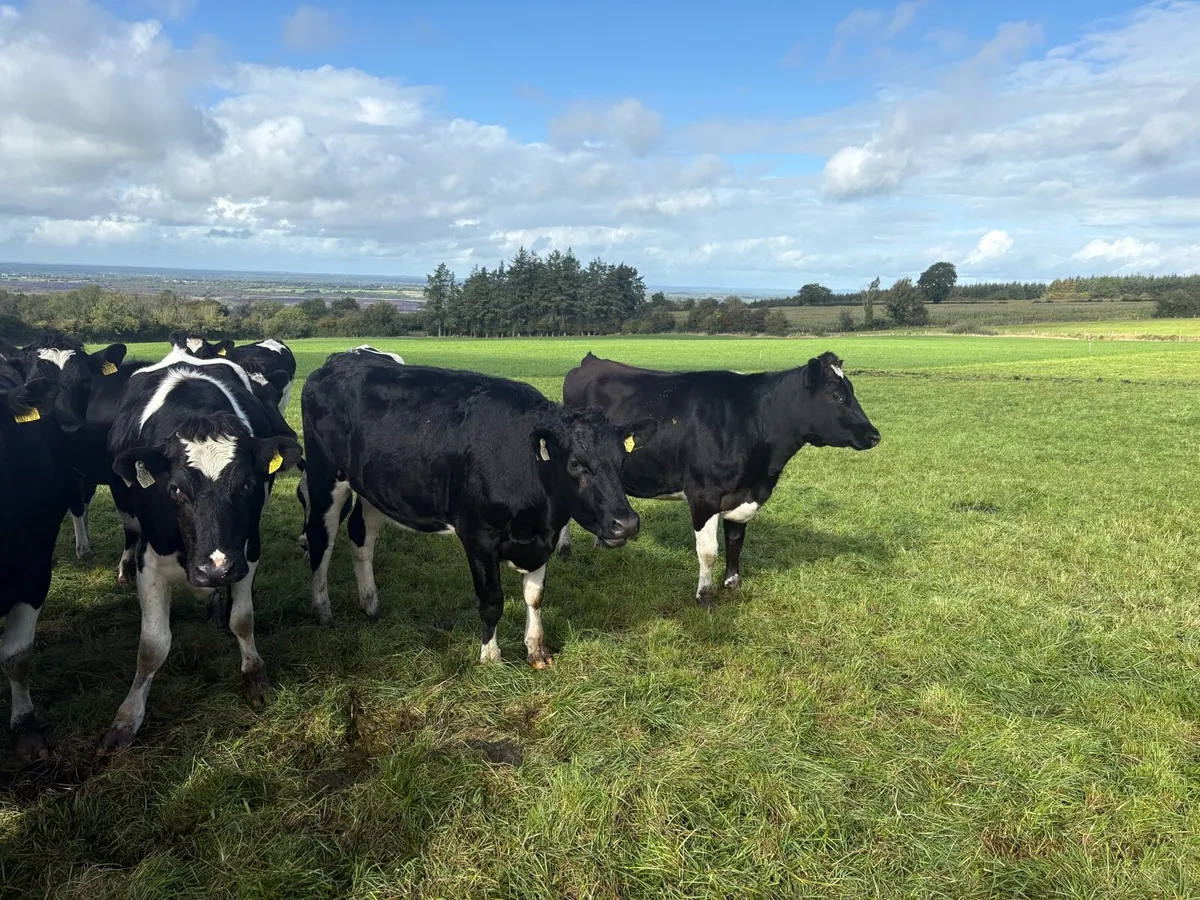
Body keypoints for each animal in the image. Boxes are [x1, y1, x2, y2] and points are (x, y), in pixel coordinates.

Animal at [98, 347, 302, 752]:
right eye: (175, 489)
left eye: (248, 484)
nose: (215, 570)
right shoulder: (150, 559)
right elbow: (152, 647)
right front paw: (127, 717)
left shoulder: (246, 551)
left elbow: (243, 619)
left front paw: (255, 676)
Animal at [301, 351, 653, 668]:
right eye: (576, 464)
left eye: (622, 460)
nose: (626, 523)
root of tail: (339, 360)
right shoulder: (479, 535)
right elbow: (491, 600)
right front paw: (490, 657)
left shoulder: (543, 538)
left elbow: (535, 596)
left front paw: (536, 650)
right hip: (324, 475)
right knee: (321, 540)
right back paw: (322, 611)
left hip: (375, 488)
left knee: (361, 536)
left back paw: (371, 605)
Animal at [559, 351, 880, 606]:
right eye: (838, 396)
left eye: (851, 391)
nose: (874, 435)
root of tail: (591, 360)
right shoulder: (704, 495)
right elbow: (709, 552)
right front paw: (705, 597)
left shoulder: (744, 495)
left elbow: (736, 542)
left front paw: (733, 585)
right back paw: (564, 551)